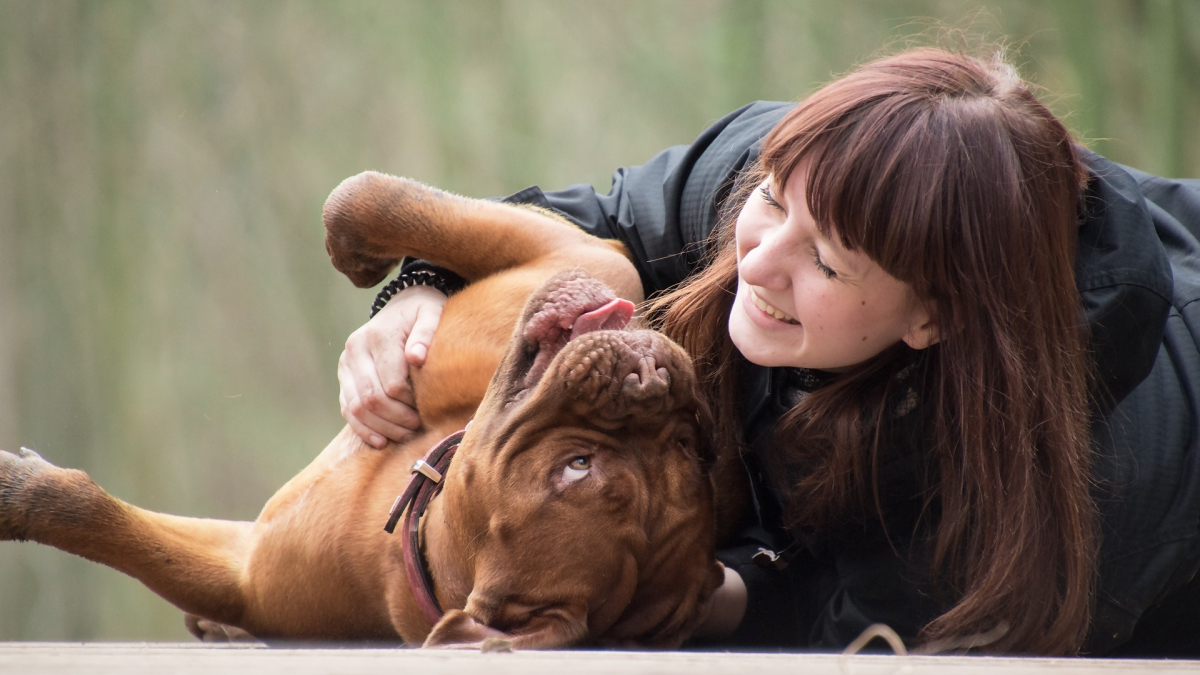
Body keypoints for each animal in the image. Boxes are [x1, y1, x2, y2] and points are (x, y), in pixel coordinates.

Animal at [0, 172, 720, 648]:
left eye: (577, 467)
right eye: (688, 450)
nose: (651, 378)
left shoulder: (245, 574)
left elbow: (100, 519)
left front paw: (19, 491)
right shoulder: (583, 253)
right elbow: (364, 195)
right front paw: (363, 258)